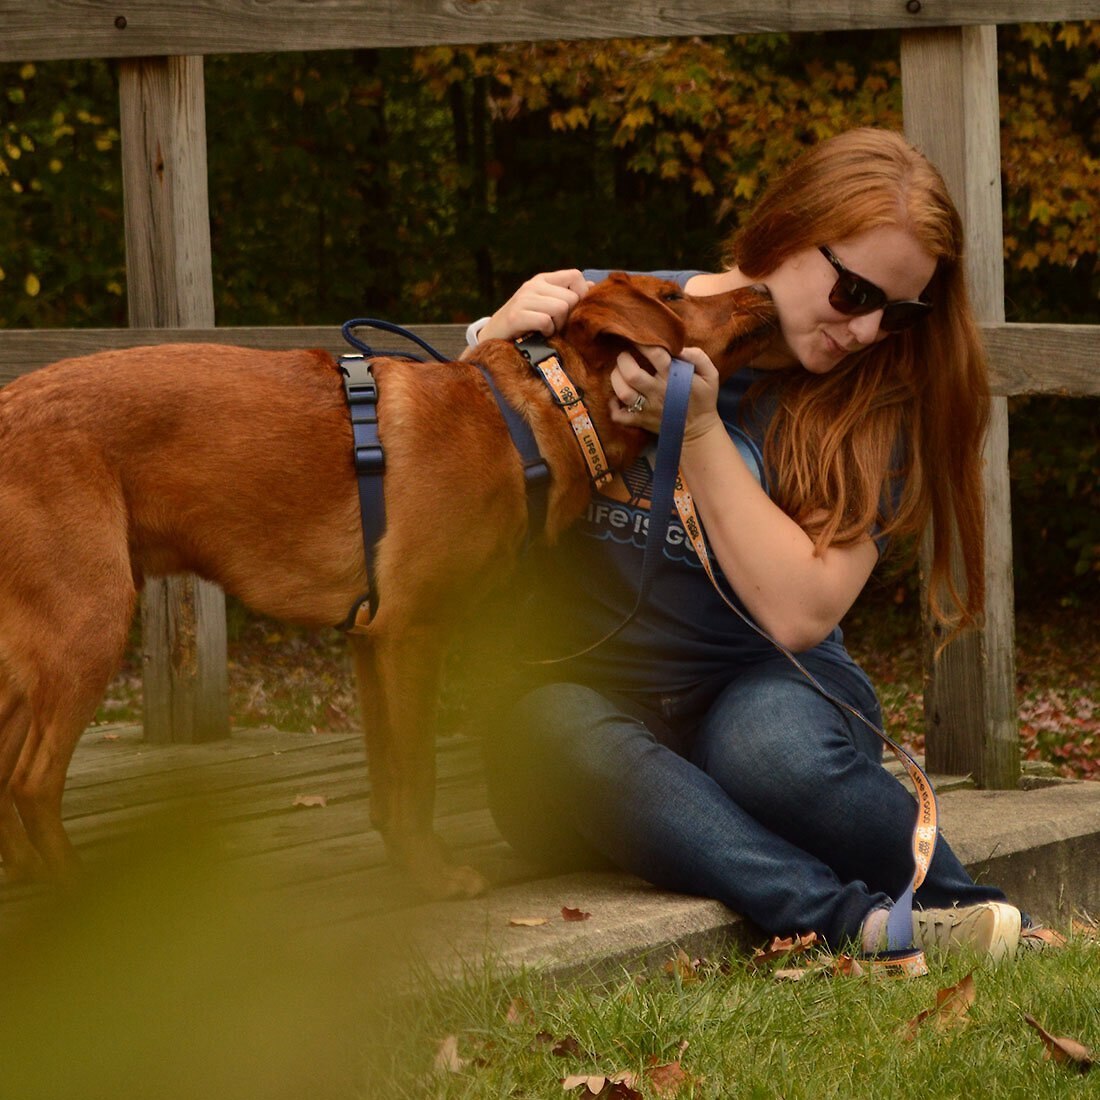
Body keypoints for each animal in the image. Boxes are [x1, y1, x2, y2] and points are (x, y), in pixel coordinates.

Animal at [0, 272, 778, 893]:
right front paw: (434, 879)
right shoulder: (413, 635)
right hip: (90, 622)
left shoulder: (371, 640)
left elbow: (387, 780)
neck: (532, 417)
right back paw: (78, 895)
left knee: (8, 772)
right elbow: (420, 774)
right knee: (33, 780)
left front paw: (406, 864)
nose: (765, 290)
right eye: (674, 298)